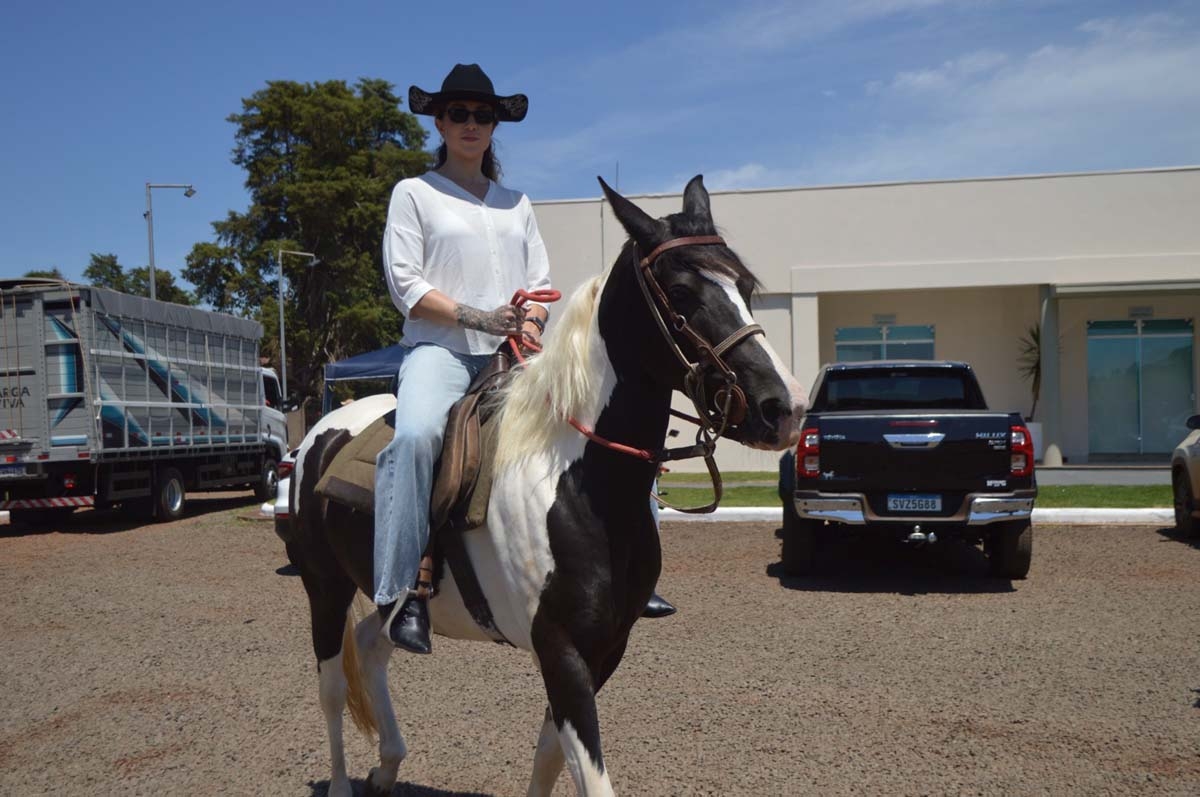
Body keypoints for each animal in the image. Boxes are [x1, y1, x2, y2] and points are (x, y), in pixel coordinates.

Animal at [286, 175, 808, 797]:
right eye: (680, 291)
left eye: (746, 286)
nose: (785, 407)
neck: (574, 482)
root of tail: (318, 436)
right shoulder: (561, 651)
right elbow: (587, 774)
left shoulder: (603, 651)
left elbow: (550, 758)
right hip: (323, 585)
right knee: (331, 688)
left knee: (371, 645)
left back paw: (388, 765)